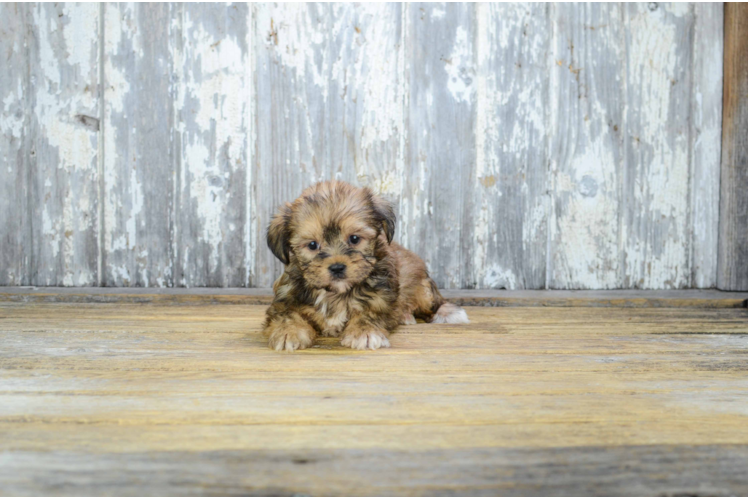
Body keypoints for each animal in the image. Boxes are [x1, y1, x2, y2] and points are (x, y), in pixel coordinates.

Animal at [262, 181, 468, 352]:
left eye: (354, 238)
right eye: (312, 245)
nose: (337, 267)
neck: (334, 293)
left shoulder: (381, 297)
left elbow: (369, 313)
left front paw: (364, 333)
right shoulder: (284, 298)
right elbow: (286, 315)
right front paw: (288, 332)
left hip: (423, 289)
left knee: (433, 303)